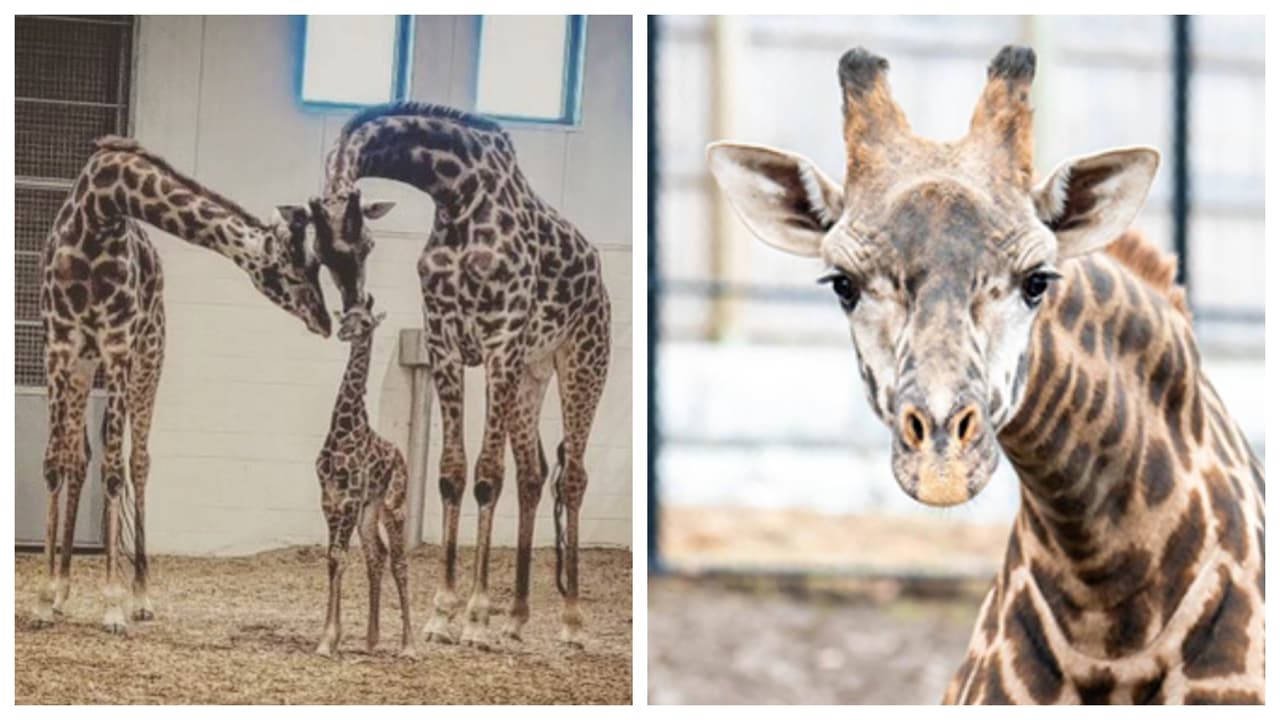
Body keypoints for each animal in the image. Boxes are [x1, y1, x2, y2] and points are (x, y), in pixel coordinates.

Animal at [35, 136, 332, 634]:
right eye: (293, 269)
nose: (326, 322)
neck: (100, 209)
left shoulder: (118, 347)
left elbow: (114, 470)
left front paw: (113, 605)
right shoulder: (58, 347)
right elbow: (56, 462)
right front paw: (43, 600)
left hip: (149, 356)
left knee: (138, 461)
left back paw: (139, 596)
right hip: (85, 366)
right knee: (79, 456)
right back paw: (61, 591)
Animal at [314, 295, 414, 658]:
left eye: (367, 322)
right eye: (347, 316)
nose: (344, 332)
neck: (343, 429)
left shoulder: (350, 498)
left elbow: (340, 557)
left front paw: (328, 640)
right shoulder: (330, 499)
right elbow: (334, 558)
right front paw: (331, 637)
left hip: (393, 505)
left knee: (399, 561)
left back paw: (409, 645)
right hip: (369, 511)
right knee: (377, 555)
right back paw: (372, 640)